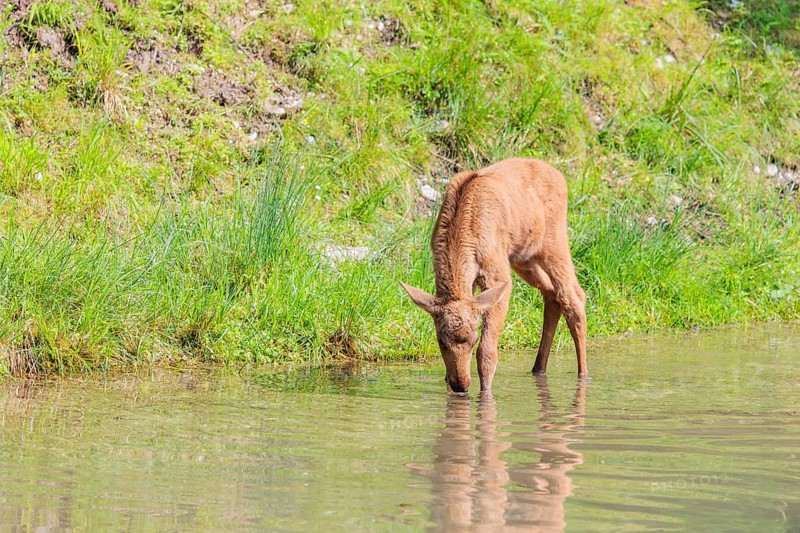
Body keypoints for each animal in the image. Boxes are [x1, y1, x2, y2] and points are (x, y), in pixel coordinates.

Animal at [401, 158, 587, 393]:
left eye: (473, 339)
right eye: (441, 342)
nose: (461, 385)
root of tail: (561, 176)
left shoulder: (497, 279)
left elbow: (487, 351)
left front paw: (486, 392)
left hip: (553, 243)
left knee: (573, 297)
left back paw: (583, 374)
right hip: (524, 258)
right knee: (551, 293)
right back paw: (539, 368)